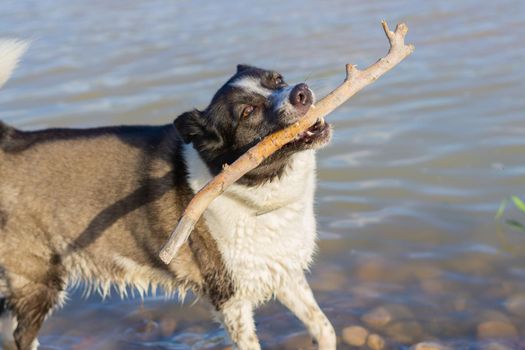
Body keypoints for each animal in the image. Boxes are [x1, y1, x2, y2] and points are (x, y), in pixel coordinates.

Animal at [0, 41, 336, 350]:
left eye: (278, 79)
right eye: (248, 112)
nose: (301, 92)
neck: (253, 193)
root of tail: (11, 140)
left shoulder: (285, 274)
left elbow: (324, 328)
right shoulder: (229, 299)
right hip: (36, 282)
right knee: (21, 337)